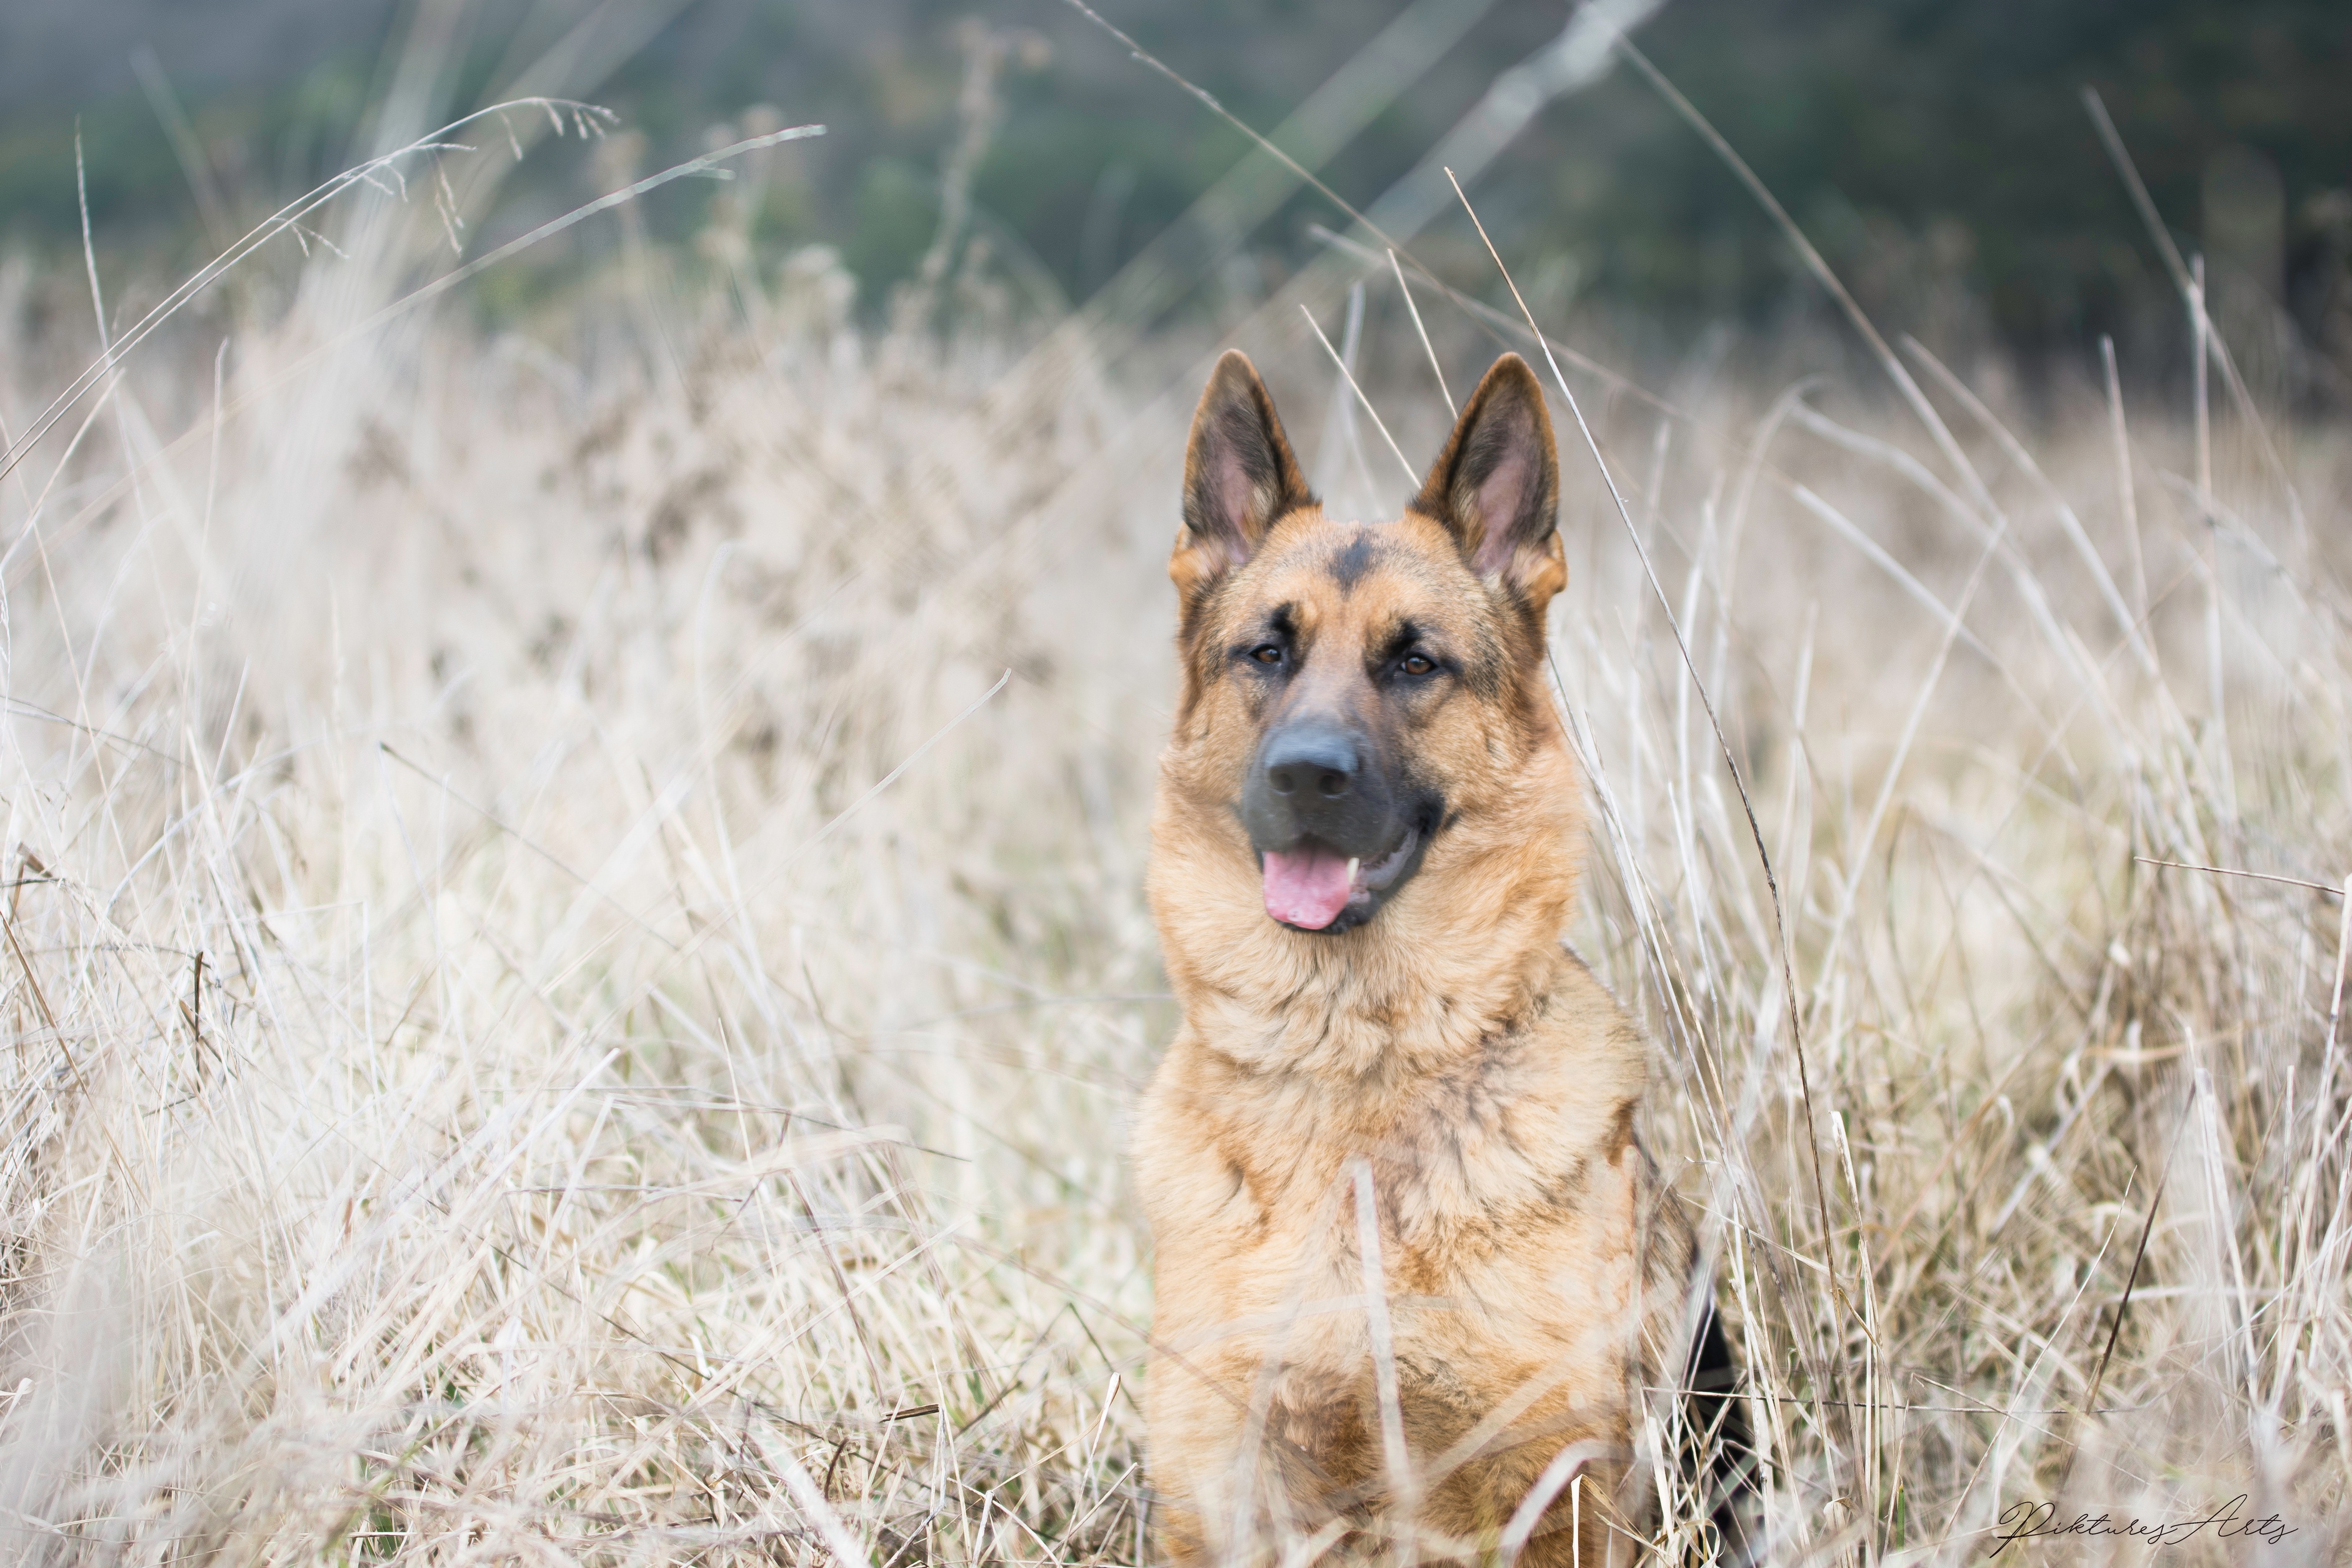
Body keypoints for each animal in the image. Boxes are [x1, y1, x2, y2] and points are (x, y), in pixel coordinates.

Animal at [1129, 350, 1759, 1561]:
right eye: (1266, 652)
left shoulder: (1554, 1488)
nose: (1306, 774)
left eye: (1415, 662)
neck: (1351, 1065)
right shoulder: (1223, 1486)